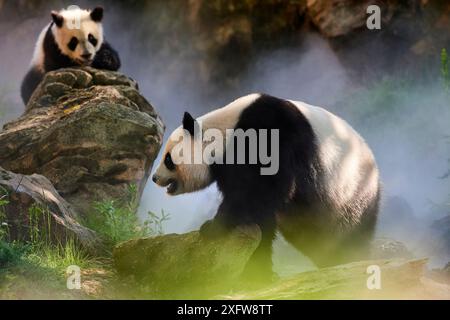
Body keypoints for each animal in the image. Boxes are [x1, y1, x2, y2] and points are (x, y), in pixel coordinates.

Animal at [152, 92, 380, 282]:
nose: (154, 178)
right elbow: (259, 214)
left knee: (347, 233)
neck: (226, 132)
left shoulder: (269, 135)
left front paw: (213, 227)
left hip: (351, 193)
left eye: (168, 159)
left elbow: (259, 190)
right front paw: (257, 273)